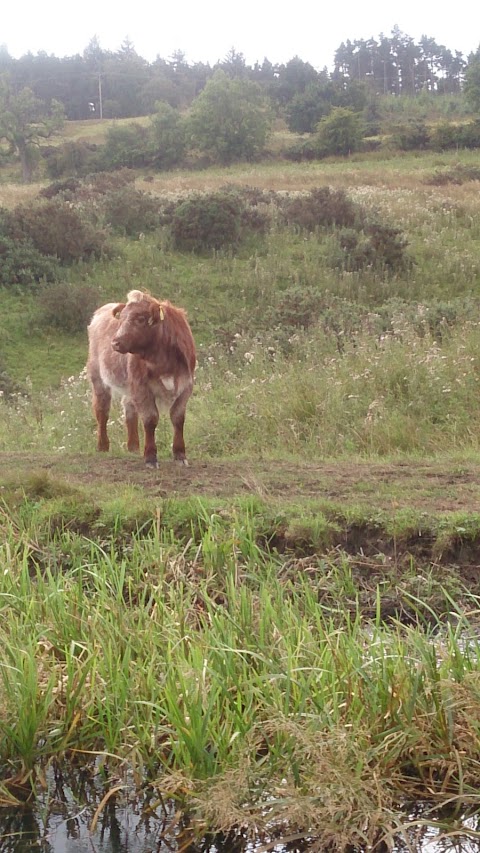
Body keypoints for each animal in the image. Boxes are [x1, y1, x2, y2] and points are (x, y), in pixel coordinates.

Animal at [87, 292, 196, 466]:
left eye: (140, 319)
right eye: (122, 318)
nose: (115, 342)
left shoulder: (186, 385)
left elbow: (178, 418)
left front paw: (180, 455)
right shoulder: (141, 387)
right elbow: (150, 418)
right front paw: (150, 456)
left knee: (129, 409)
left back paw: (133, 447)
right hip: (98, 377)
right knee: (102, 409)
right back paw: (103, 446)